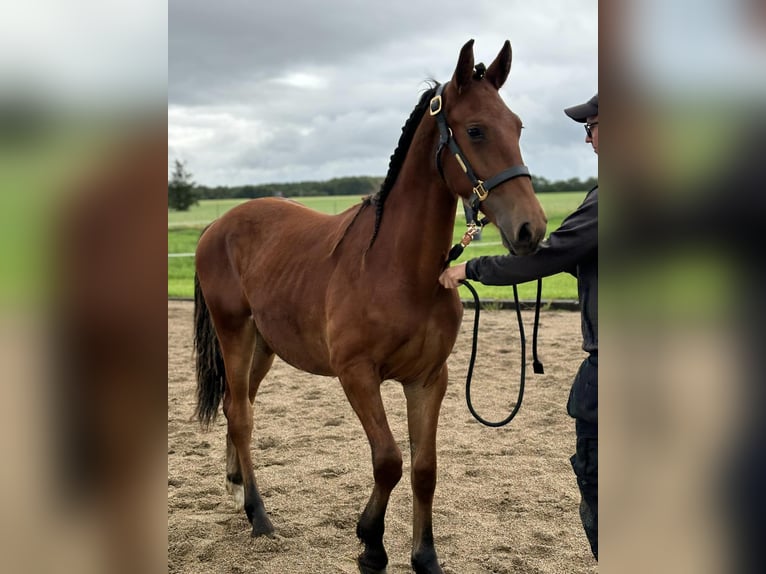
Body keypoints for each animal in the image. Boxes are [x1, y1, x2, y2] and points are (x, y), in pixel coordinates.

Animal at [195, 38, 548, 572]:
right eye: (476, 129)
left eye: (519, 126)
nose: (531, 230)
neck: (399, 270)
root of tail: (217, 227)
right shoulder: (357, 375)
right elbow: (388, 461)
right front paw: (371, 544)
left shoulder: (429, 379)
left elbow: (424, 468)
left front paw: (425, 557)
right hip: (233, 332)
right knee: (240, 415)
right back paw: (259, 516)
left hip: (263, 344)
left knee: (241, 407)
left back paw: (239, 490)